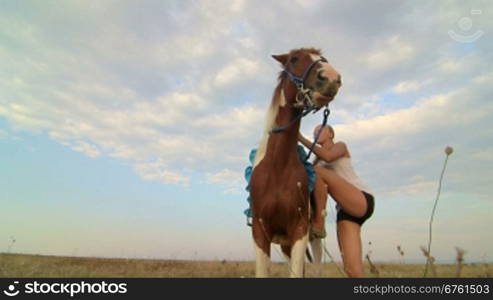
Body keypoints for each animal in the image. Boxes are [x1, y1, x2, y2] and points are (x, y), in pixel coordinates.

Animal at [250, 48, 338, 278]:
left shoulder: (299, 231)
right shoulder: (260, 232)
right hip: (284, 244)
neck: (277, 167)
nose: (332, 77)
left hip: (313, 240)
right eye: (294, 59)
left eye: (324, 58)